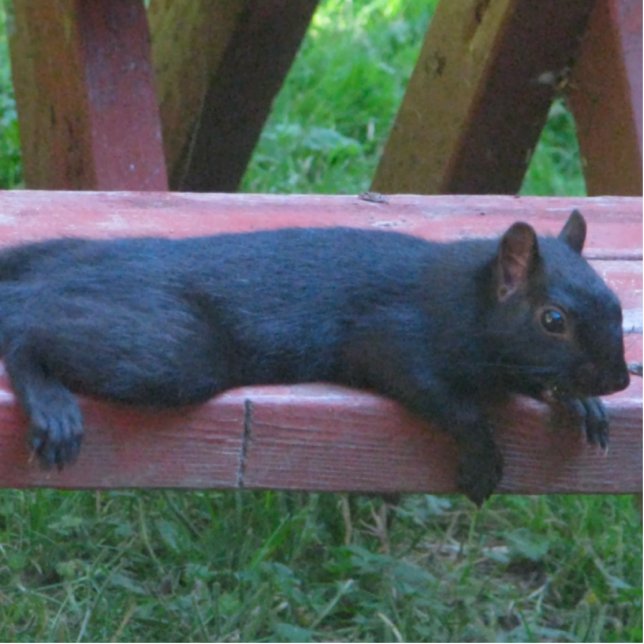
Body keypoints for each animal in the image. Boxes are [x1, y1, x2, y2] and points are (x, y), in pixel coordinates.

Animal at [0, 209, 629, 504]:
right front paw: (482, 455)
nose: (619, 380)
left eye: (616, 300)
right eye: (553, 320)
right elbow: (447, 399)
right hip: (169, 349)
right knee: (26, 329)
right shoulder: (391, 334)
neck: (463, 296)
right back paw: (51, 402)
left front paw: (580, 404)